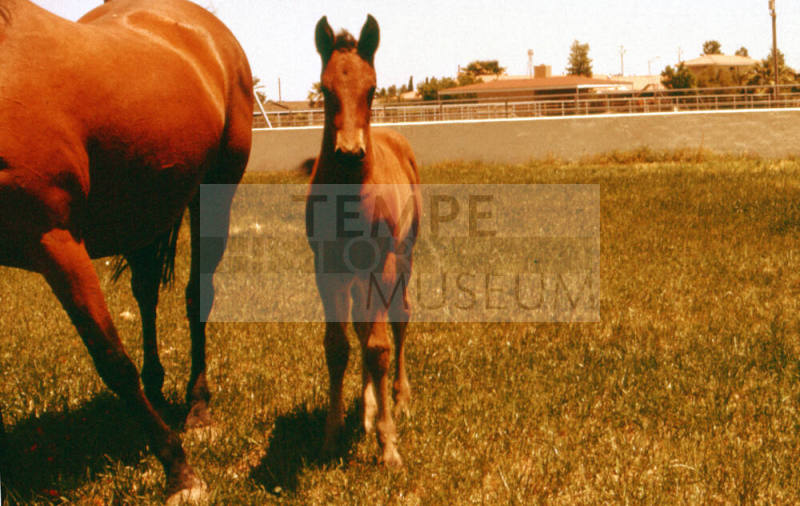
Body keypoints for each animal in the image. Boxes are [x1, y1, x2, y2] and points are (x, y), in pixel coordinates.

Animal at [0, 0, 253, 500]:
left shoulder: (55, 242)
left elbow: (112, 359)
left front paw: (180, 472)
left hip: (212, 193)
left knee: (196, 297)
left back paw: (197, 410)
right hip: (144, 211)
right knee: (147, 293)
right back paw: (156, 390)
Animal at [308, 15, 421, 467]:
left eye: (371, 89)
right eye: (325, 90)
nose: (350, 151)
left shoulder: (382, 265)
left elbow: (378, 348)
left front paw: (389, 446)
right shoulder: (327, 268)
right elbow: (338, 346)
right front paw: (331, 433)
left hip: (404, 256)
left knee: (400, 318)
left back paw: (399, 399)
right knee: (360, 323)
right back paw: (368, 408)